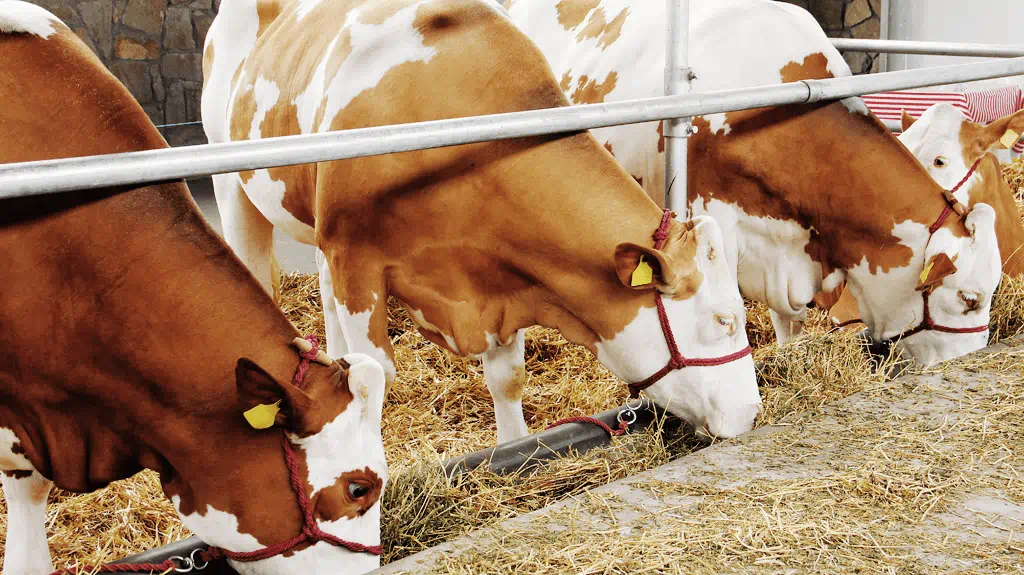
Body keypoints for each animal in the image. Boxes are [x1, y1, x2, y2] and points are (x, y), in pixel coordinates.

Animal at [201, 0, 760, 445]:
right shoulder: (355, 258)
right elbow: (378, 377)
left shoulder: (502, 274)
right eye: (724, 320)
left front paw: (512, 449)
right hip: (235, 187)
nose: (752, 413)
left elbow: (508, 377)